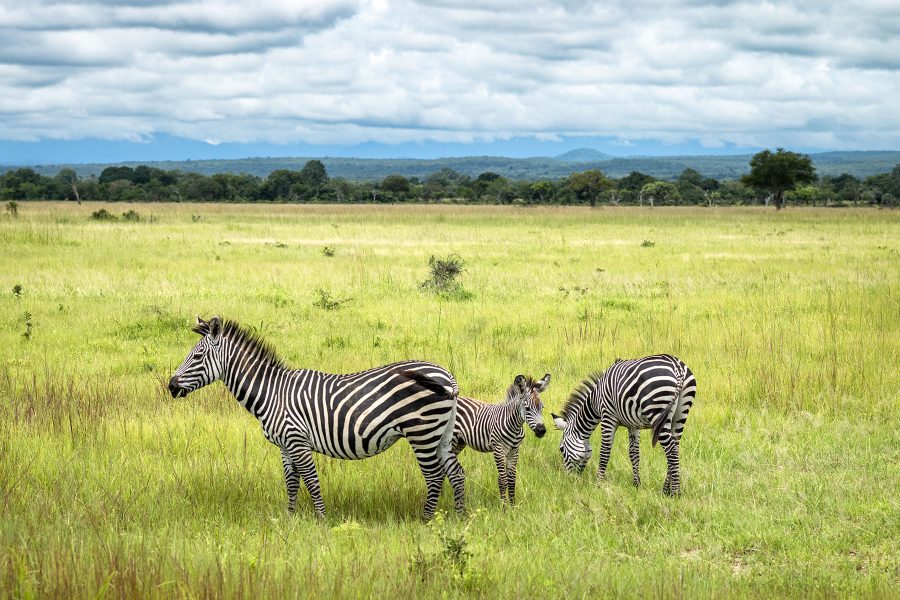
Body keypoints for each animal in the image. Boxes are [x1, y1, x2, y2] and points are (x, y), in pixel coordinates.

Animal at [165, 316, 468, 516]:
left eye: (197, 357)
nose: (170, 386)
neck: (272, 392)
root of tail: (447, 374)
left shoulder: (297, 439)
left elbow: (310, 480)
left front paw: (321, 519)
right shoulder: (285, 446)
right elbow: (291, 482)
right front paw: (290, 518)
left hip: (422, 432)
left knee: (435, 476)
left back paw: (426, 521)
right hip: (442, 434)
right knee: (456, 473)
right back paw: (460, 517)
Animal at [454, 376, 552, 506]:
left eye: (542, 407)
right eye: (527, 409)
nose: (541, 430)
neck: (514, 426)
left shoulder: (514, 451)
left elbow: (511, 480)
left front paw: (513, 506)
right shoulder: (498, 450)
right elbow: (503, 480)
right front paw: (504, 507)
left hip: (459, 442)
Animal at [548, 354, 696, 494]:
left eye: (561, 449)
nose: (570, 479)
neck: (594, 402)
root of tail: (677, 367)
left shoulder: (608, 416)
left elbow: (605, 451)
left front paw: (598, 484)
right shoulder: (633, 424)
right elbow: (634, 453)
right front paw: (636, 485)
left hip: (656, 410)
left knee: (671, 449)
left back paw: (675, 492)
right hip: (680, 414)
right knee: (675, 447)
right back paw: (666, 490)